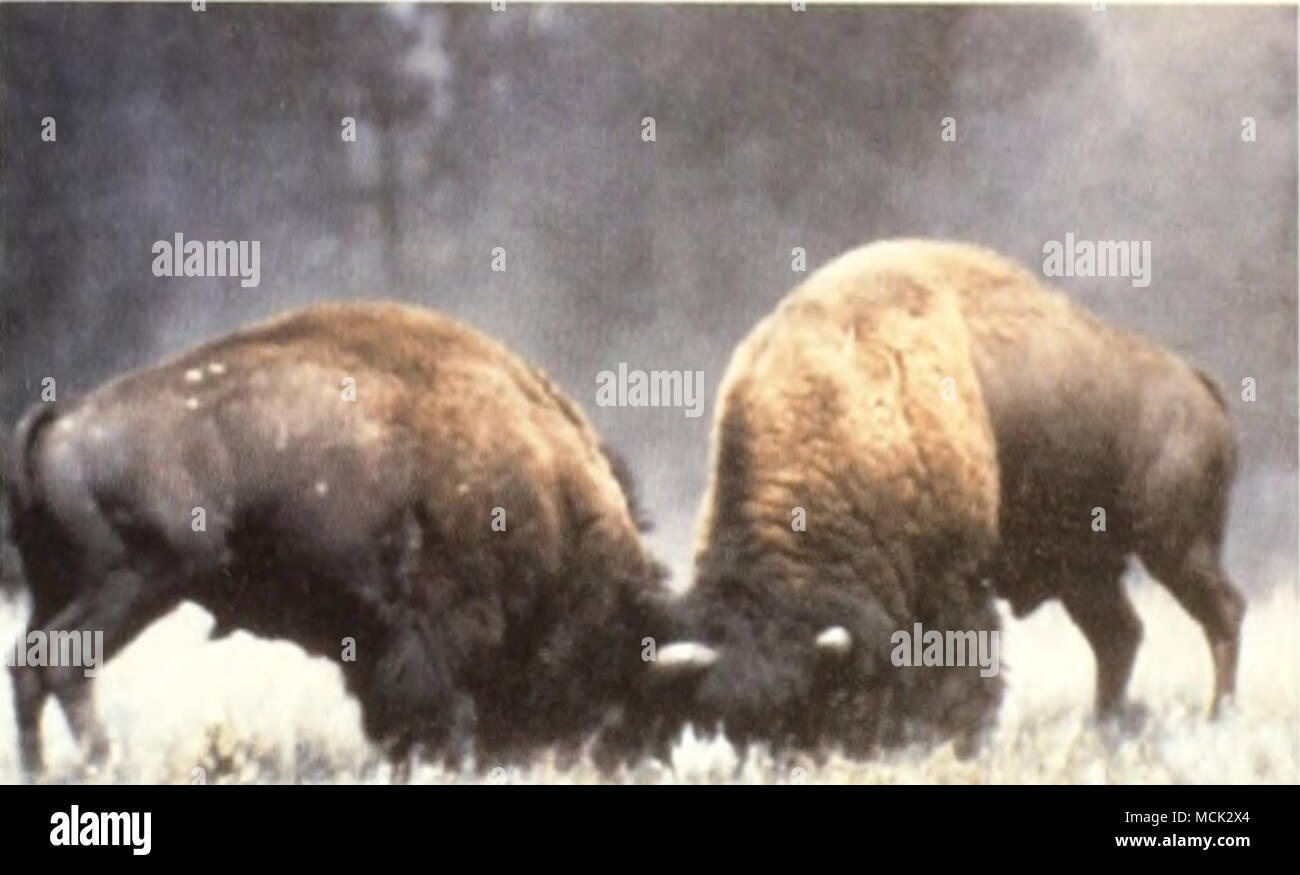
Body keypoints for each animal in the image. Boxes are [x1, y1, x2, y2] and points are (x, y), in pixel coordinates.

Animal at [5, 301, 665, 780]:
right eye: (600, 653)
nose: (577, 751)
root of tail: (63, 415)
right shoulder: (432, 634)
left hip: (65, 587)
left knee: (25, 664)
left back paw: (43, 771)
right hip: (137, 582)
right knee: (61, 664)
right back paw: (103, 764)